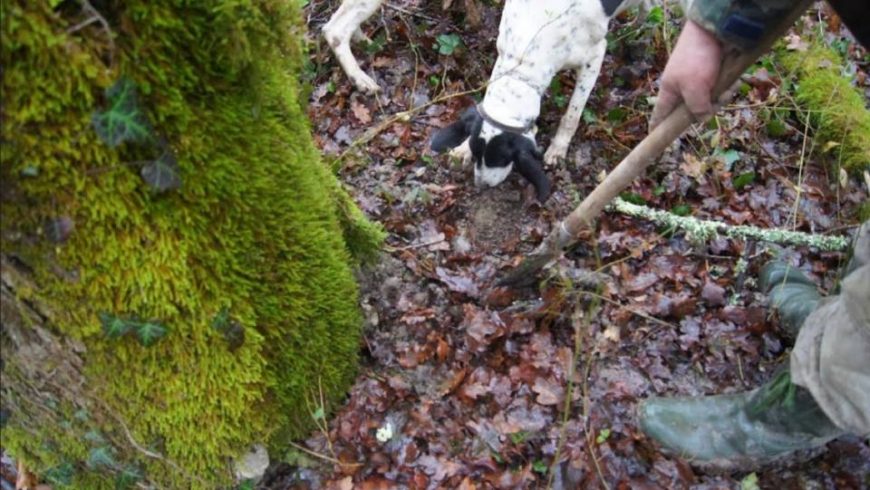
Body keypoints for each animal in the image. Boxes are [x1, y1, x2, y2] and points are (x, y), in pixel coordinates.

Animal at [432, 0, 652, 203]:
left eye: (502, 158)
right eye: (476, 152)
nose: (481, 186)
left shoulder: (594, 59)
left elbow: (572, 115)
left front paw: (558, 148)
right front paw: (463, 149)